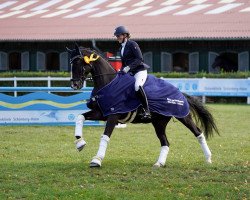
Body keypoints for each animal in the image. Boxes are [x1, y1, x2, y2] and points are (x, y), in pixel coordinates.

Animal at [67, 44, 219, 168]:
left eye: (79, 62)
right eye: (71, 63)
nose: (74, 84)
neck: (107, 82)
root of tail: (180, 93)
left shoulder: (113, 115)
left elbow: (105, 136)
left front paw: (96, 160)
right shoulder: (102, 113)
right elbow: (80, 117)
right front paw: (80, 143)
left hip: (183, 116)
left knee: (198, 133)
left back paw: (208, 159)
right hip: (159, 122)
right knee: (165, 142)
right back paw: (159, 163)